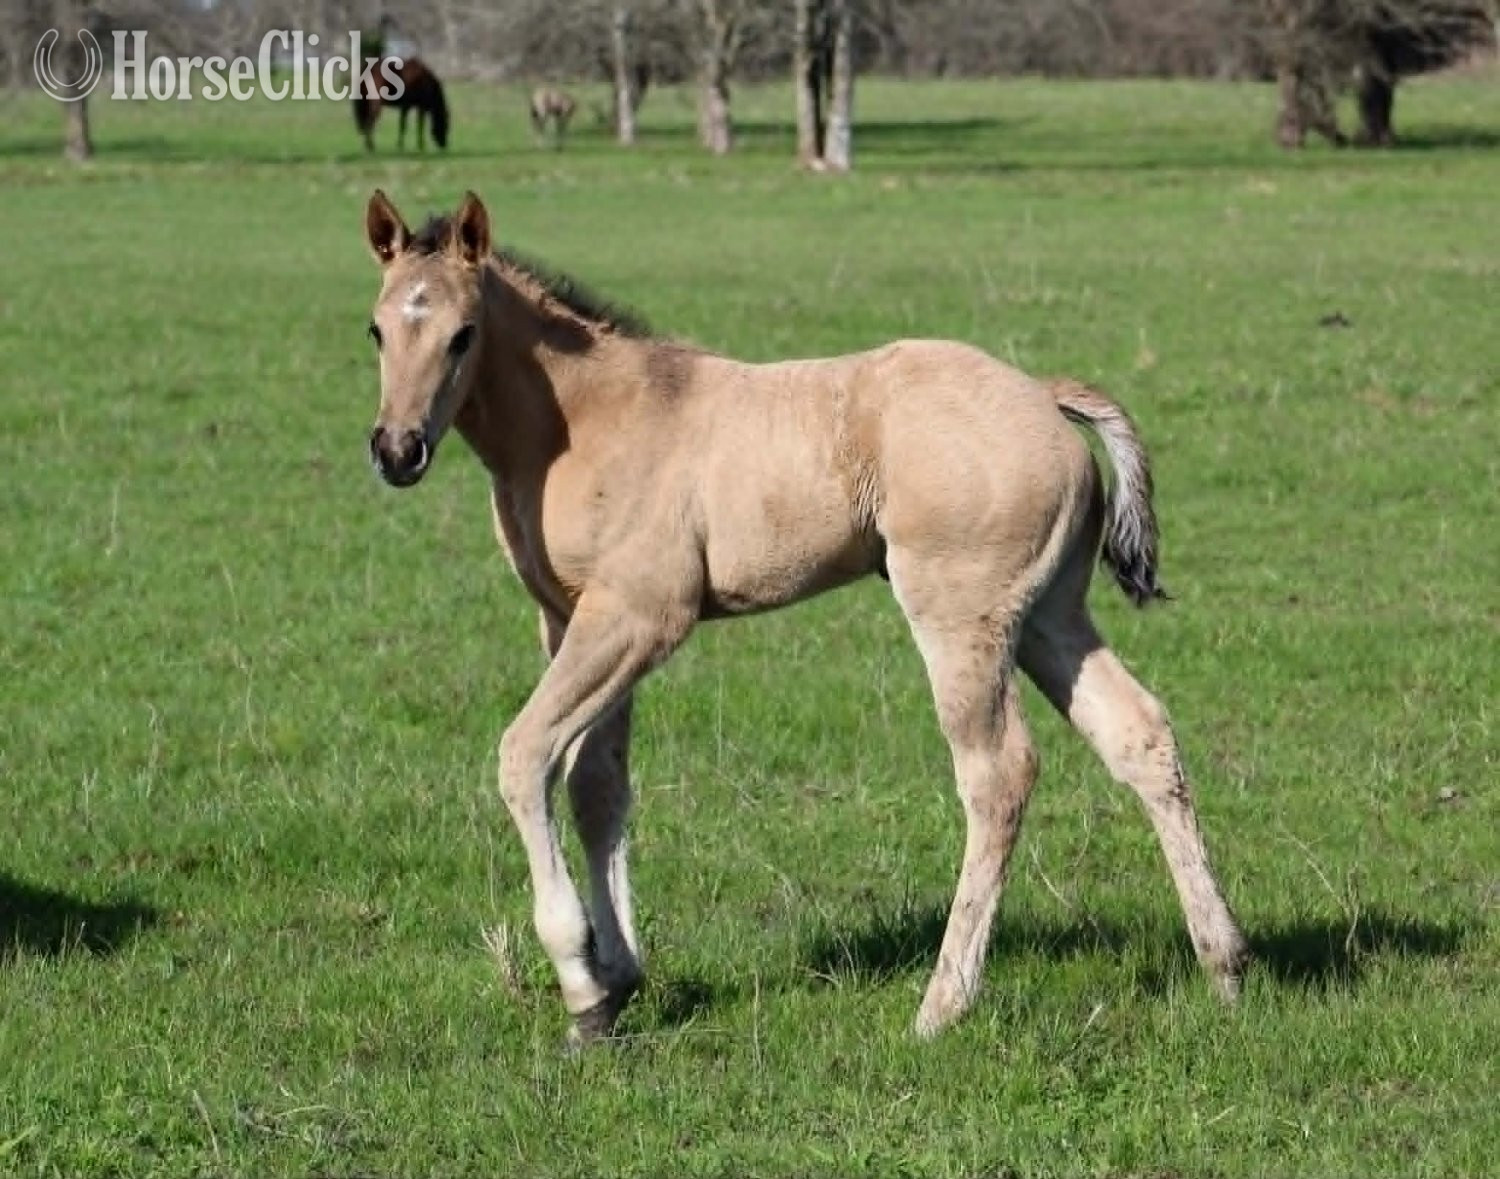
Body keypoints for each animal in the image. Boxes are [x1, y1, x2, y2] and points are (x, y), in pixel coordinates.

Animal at [359, 189, 1250, 1044]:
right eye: (377, 329)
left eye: (463, 334)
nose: (397, 450)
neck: (583, 420)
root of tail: (1042, 395)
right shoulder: (571, 618)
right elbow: (596, 787)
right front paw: (616, 986)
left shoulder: (641, 617)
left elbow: (526, 754)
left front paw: (580, 980)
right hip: (1048, 615)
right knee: (1139, 733)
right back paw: (1225, 965)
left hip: (962, 616)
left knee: (998, 774)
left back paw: (941, 1005)